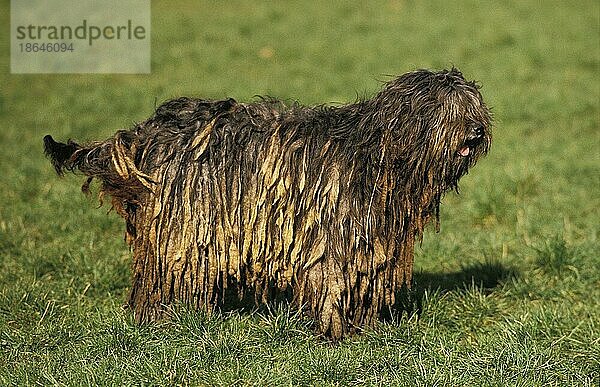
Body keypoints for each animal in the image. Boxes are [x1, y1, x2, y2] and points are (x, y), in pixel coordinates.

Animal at [44, 69, 490, 340]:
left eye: (473, 107)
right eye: (448, 110)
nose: (476, 132)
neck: (379, 154)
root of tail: (144, 132)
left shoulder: (373, 244)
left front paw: (365, 327)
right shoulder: (331, 239)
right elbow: (330, 284)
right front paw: (335, 333)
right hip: (181, 227)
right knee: (162, 277)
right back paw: (164, 319)